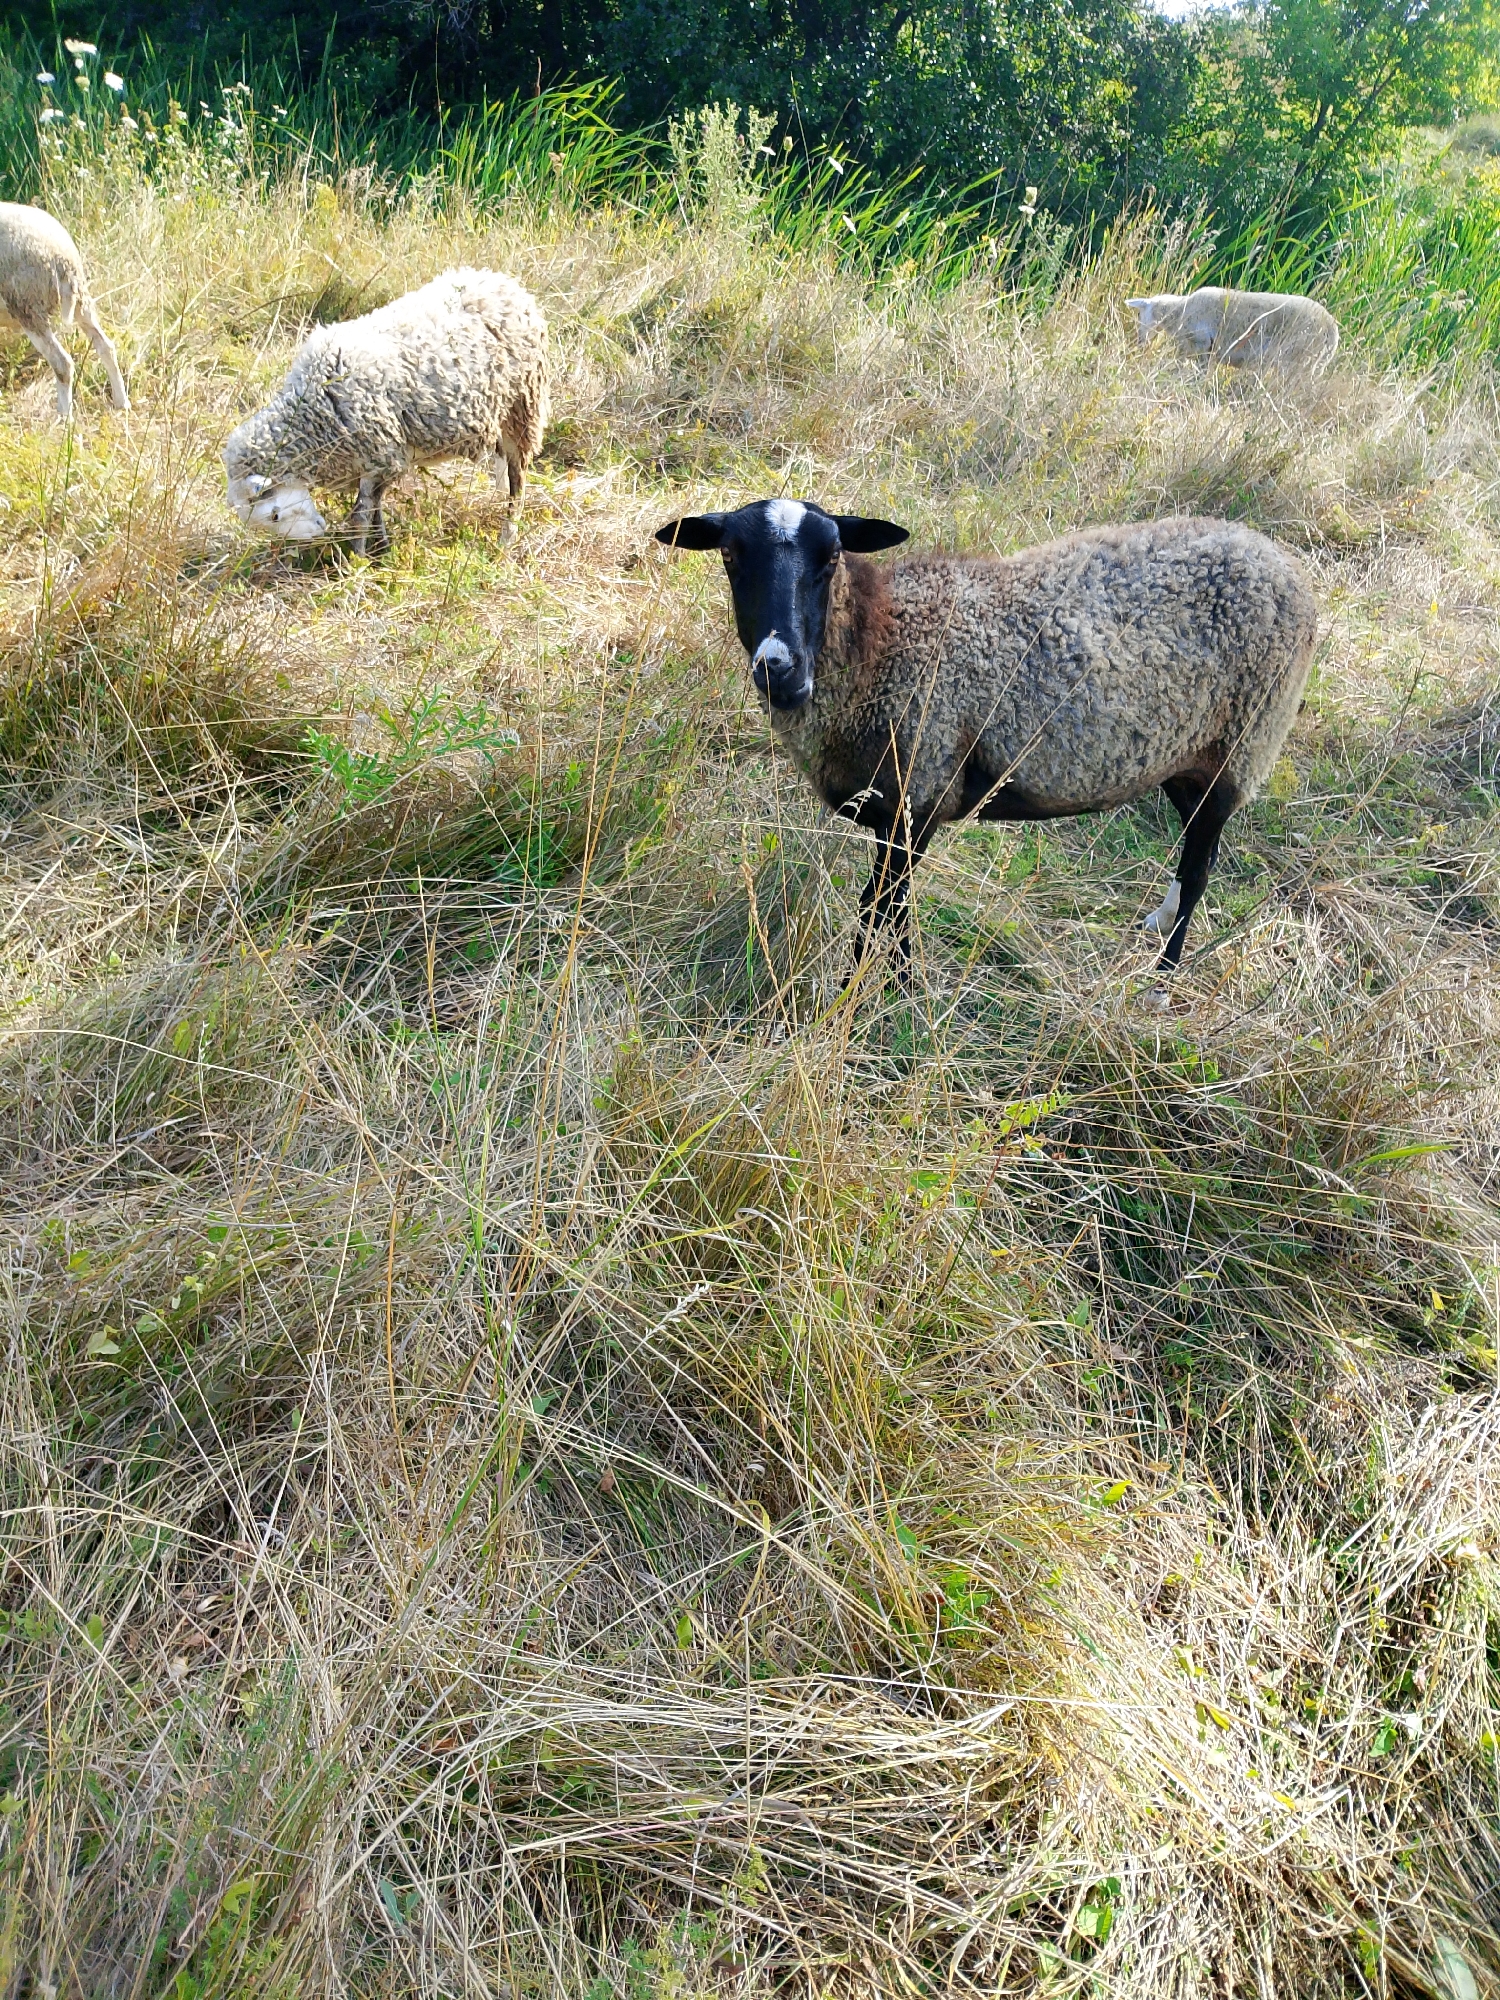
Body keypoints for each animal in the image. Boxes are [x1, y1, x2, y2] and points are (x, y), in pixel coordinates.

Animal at [0, 201, 128, 419]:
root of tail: (61, 257)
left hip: (28, 305)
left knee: (62, 362)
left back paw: (64, 416)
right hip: (81, 301)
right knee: (106, 346)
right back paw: (122, 402)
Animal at [224, 267, 551, 556]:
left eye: (274, 515)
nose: (318, 530)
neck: (312, 415)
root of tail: (505, 283)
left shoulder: (378, 452)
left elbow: (361, 514)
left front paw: (358, 560)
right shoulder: (375, 460)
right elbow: (374, 509)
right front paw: (382, 550)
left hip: (522, 406)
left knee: (517, 479)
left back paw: (507, 538)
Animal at [655, 499, 1317, 980]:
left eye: (833, 556)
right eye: (730, 555)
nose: (780, 668)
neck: (880, 640)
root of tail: (1274, 557)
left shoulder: (918, 798)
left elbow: (879, 913)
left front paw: (872, 998)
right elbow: (889, 913)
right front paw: (890, 991)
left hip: (1240, 748)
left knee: (1201, 868)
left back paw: (1161, 976)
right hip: (1181, 757)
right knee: (1188, 855)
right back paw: (1157, 924)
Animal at [1125, 287, 1340, 374]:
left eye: (1140, 315)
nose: (1139, 343)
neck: (1178, 312)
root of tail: (1332, 329)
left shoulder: (1202, 345)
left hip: (1297, 359)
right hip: (1316, 365)